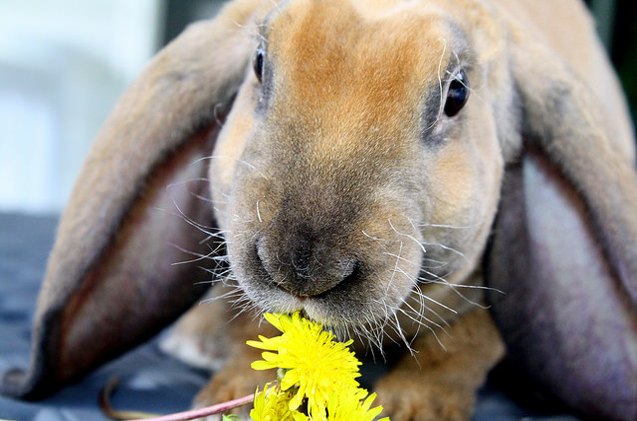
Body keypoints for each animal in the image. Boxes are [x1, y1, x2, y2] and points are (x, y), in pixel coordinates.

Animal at [2, 0, 632, 420]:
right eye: (259, 61)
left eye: (457, 95)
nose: (301, 269)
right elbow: (262, 326)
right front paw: (231, 393)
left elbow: (461, 346)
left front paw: (411, 407)